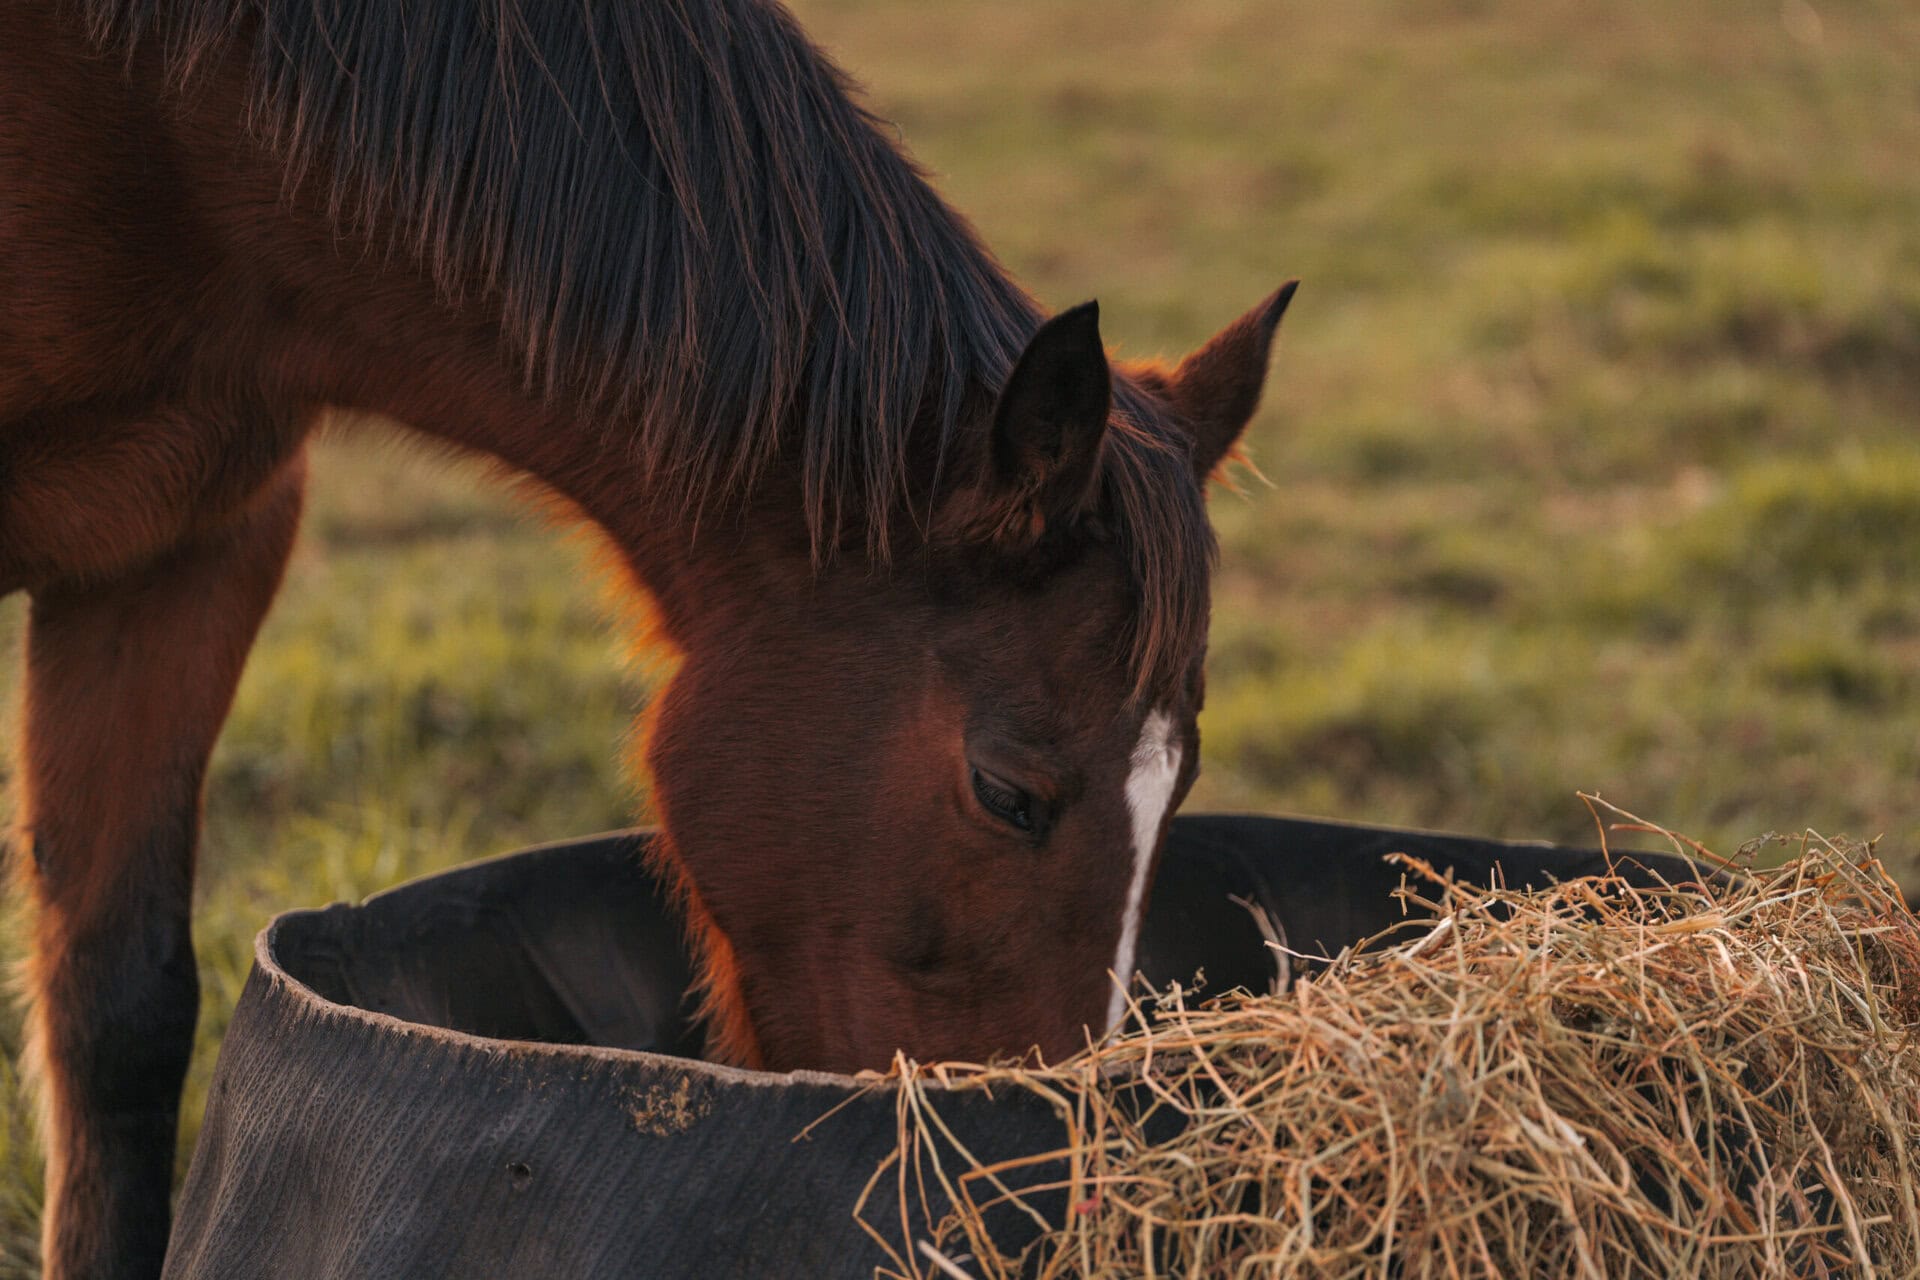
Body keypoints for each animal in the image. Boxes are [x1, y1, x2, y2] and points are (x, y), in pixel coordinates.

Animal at [0, 1, 1294, 1274]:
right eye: (1007, 790)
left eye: (1180, 790)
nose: (1049, 1189)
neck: (168, 121)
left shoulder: (188, 547)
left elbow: (118, 1010)